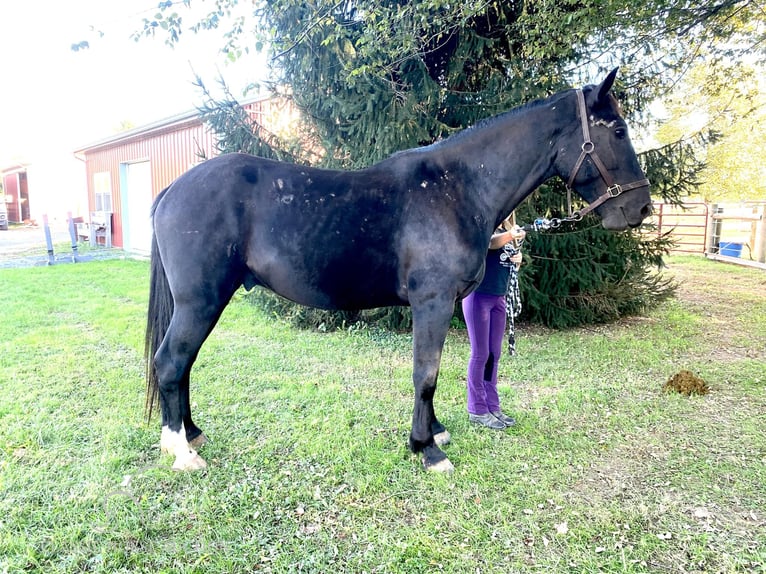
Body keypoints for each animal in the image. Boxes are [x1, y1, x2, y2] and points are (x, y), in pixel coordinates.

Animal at [146, 68, 656, 472]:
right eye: (617, 131)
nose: (641, 209)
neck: (458, 188)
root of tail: (172, 190)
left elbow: (434, 373)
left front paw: (436, 431)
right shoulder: (431, 303)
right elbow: (425, 374)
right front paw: (426, 449)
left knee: (184, 364)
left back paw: (192, 434)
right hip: (201, 301)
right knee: (171, 362)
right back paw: (181, 452)